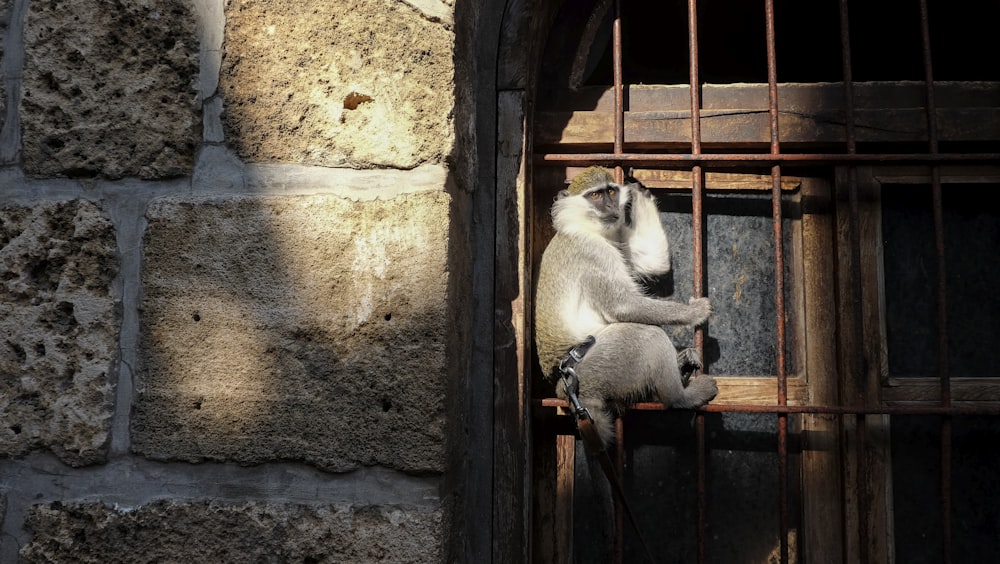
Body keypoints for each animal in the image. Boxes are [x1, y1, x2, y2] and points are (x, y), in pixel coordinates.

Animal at [532, 166, 720, 446]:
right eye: (595, 195)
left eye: (611, 191)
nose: (611, 205)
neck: (587, 228)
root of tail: (565, 389)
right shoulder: (594, 253)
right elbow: (623, 305)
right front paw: (695, 313)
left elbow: (653, 261)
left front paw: (639, 190)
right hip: (601, 367)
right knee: (648, 335)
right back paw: (680, 398)